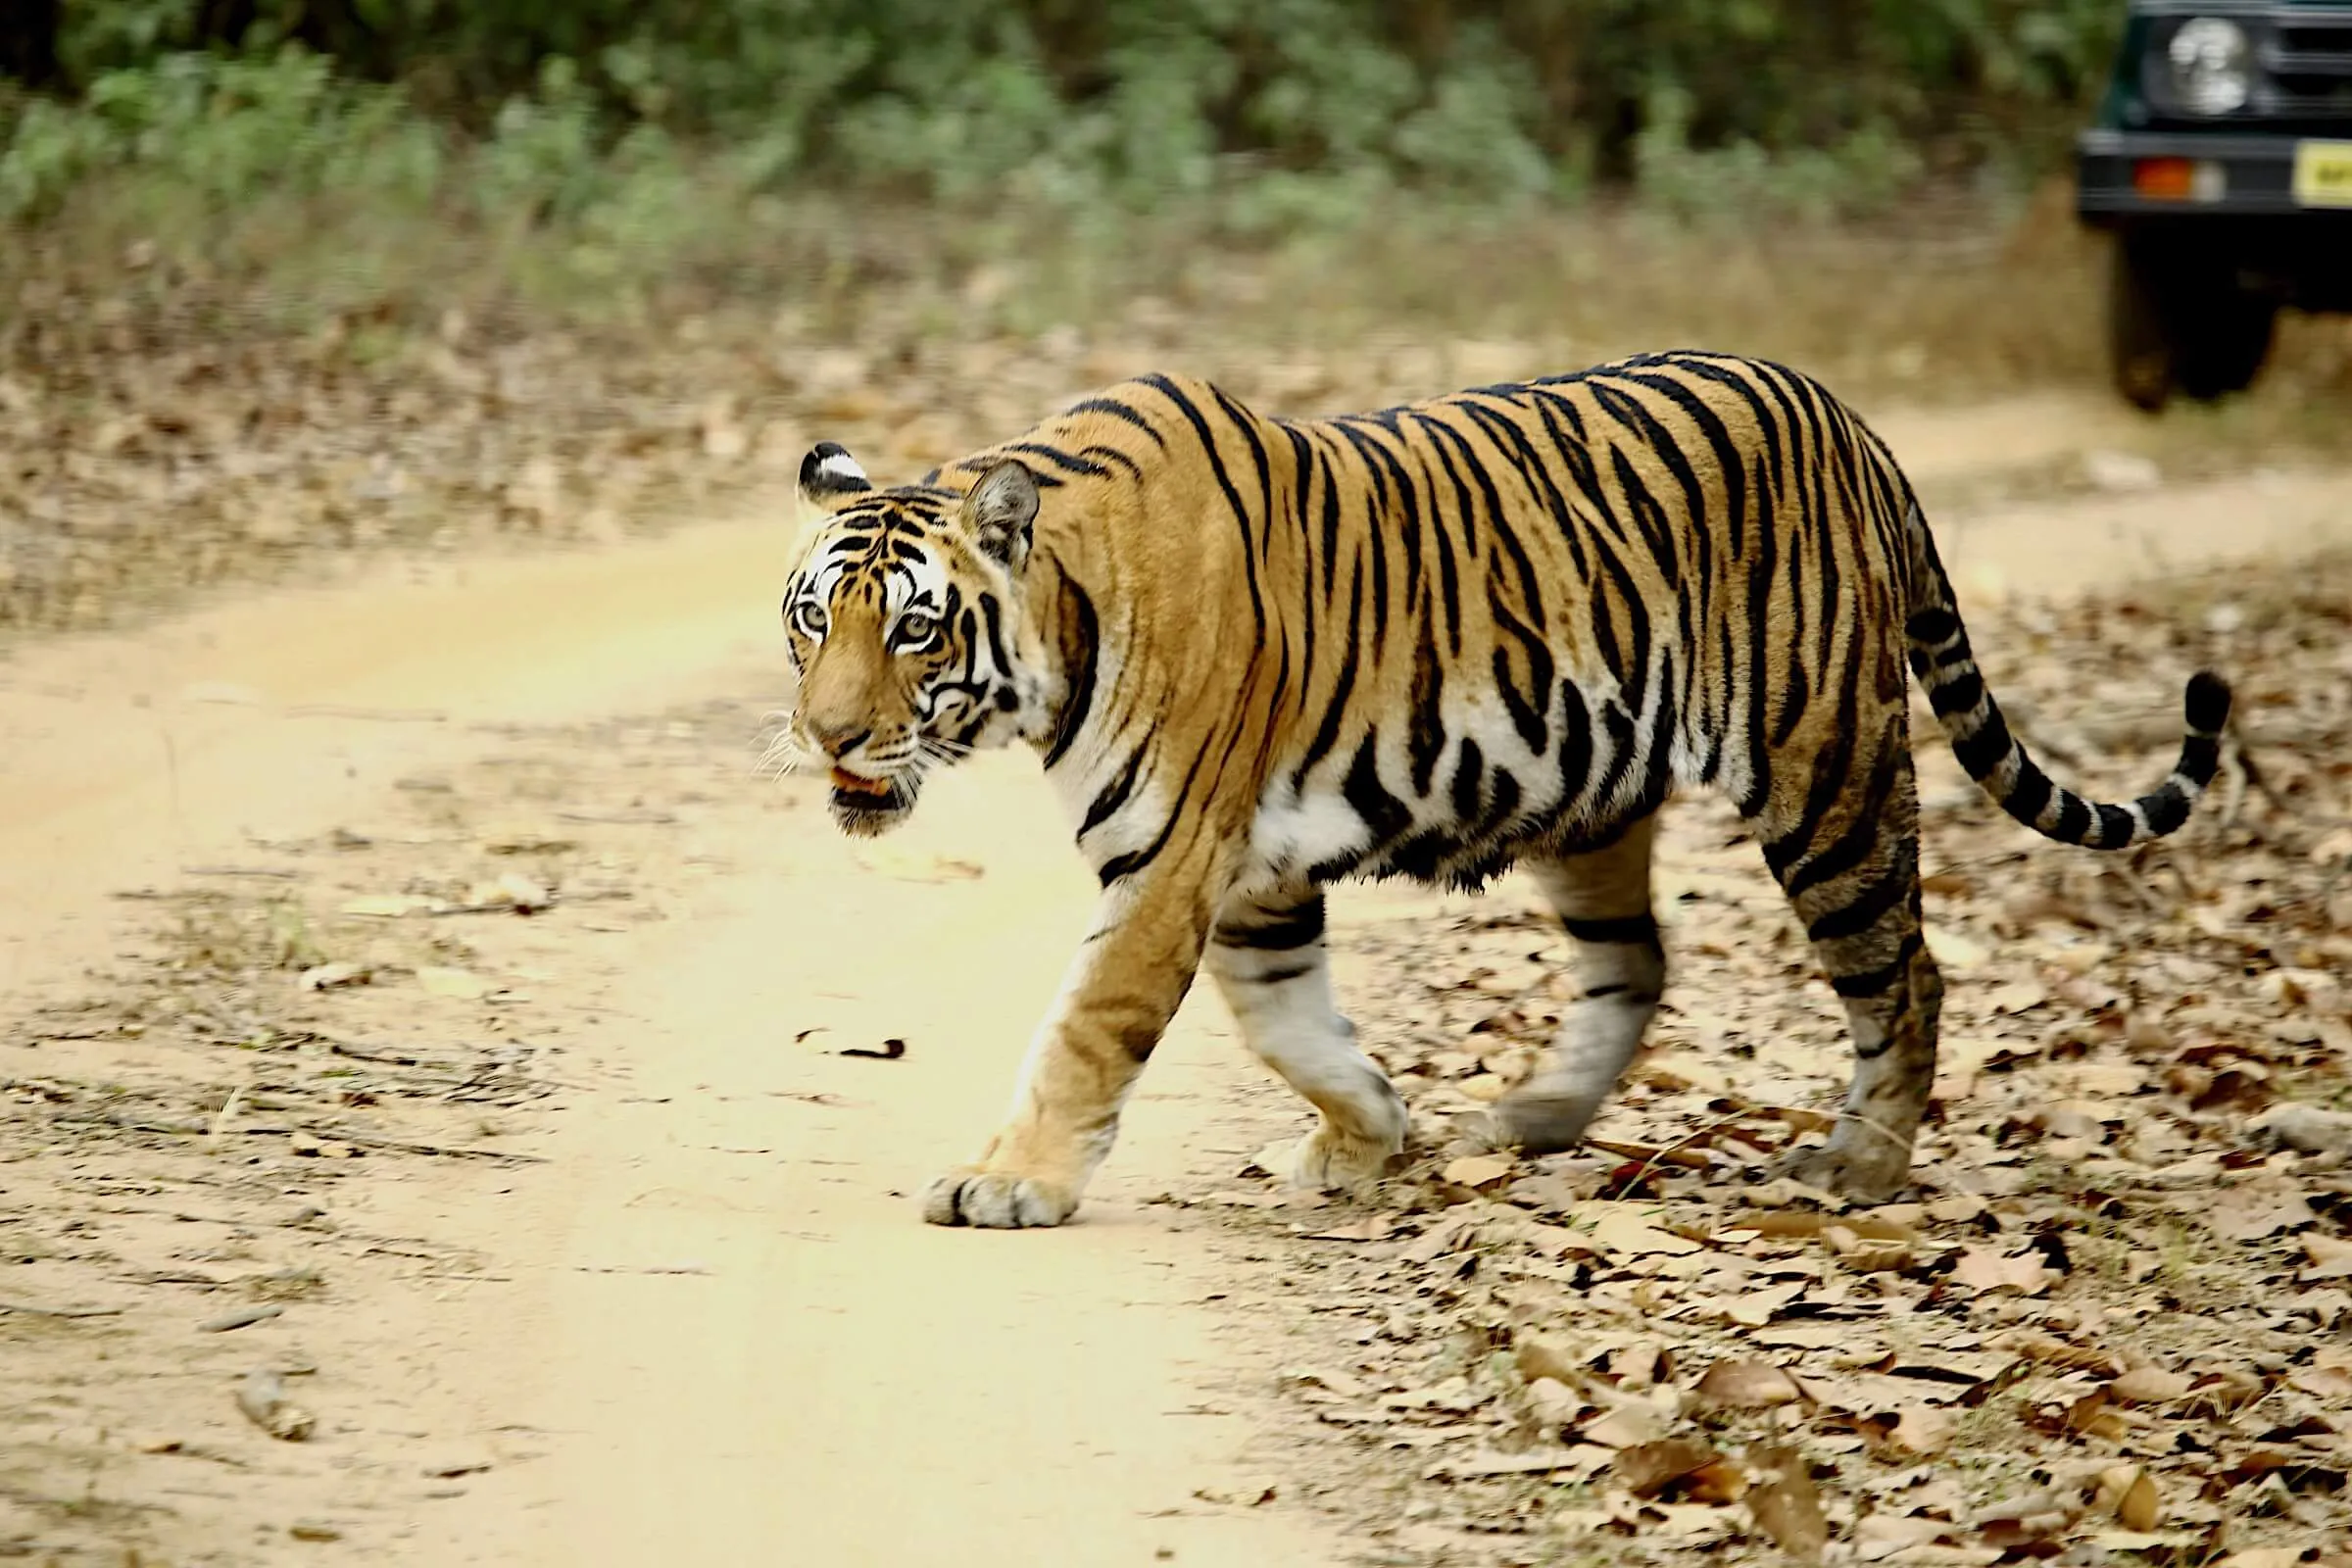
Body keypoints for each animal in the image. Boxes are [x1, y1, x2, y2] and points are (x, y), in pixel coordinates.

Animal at [775, 349, 2230, 1230]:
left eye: (914, 632)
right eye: (809, 621)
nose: (828, 736)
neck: (1064, 625)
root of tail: (1847, 416)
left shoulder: (1172, 859)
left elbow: (1088, 1030)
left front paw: (1008, 1183)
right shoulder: (1249, 873)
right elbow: (1290, 1023)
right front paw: (1370, 1137)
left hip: (1828, 775)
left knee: (1906, 971)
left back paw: (1860, 1165)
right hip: (1593, 792)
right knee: (1638, 961)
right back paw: (1529, 1118)